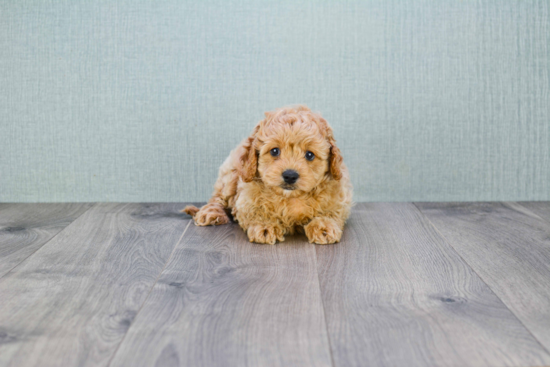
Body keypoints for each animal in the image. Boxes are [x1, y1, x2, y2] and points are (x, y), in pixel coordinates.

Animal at [184, 105, 354, 246]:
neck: (291, 197)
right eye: (274, 151)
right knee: (217, 198)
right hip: (230, 174)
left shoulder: (339, 197)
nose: (290, 175)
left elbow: (332, 212)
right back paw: (211, 213)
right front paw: (265, 226)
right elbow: (256, 211)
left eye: (310, 155)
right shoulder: (246, 199)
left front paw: (324, 227)